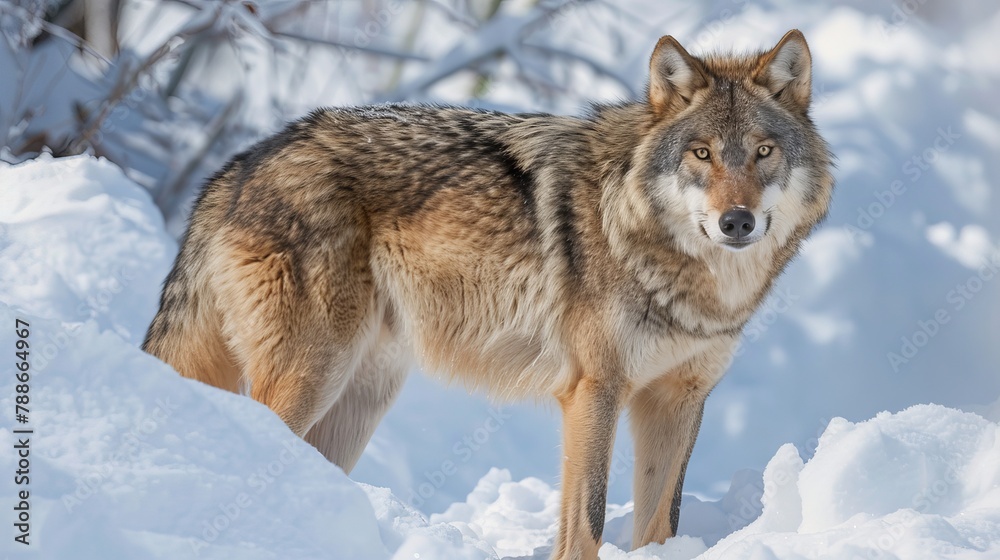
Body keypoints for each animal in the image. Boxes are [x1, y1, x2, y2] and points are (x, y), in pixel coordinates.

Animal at [144, 29, 832, 559]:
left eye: (763, 152)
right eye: (701, 154)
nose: (737, 222)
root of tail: (246, 161)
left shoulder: (678, 399)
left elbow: (662, 523)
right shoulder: (594, 389)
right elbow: (587, 519)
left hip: (356, 400)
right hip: (311, 375)